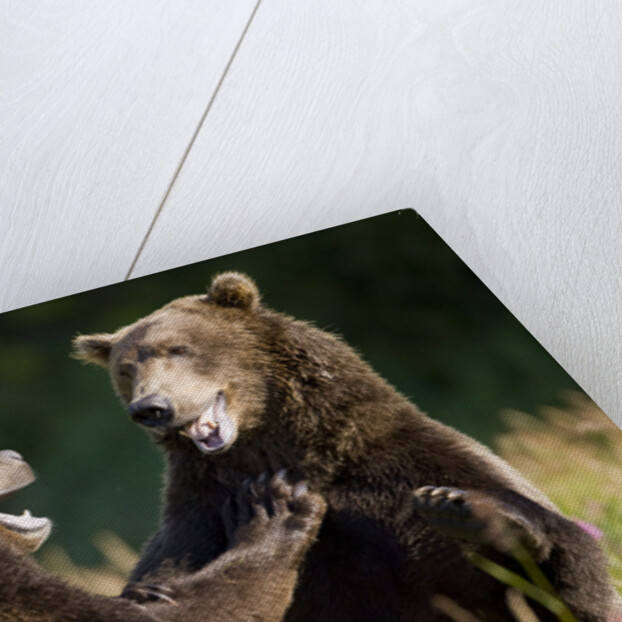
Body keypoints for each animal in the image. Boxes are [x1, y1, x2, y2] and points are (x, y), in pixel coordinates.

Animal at [72, 274, 620, 622]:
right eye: (126, 369)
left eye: (178, 349)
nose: (150, 407)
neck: (282, 449)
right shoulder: (199, 515)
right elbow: (171, 586)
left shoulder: (404, 472)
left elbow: (577, 585)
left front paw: (474, 512)